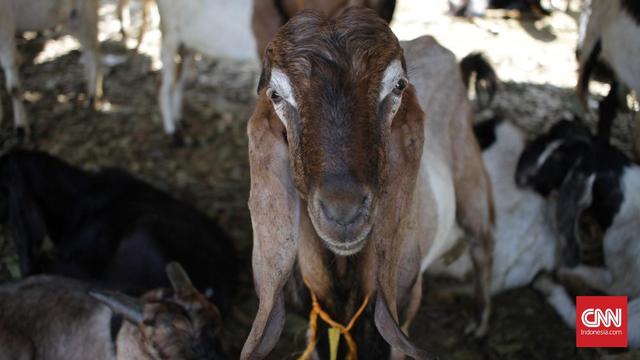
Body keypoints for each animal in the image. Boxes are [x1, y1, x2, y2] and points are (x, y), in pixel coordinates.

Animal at [0, 0, 102, 139]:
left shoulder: (5, 21)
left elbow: (13, 87)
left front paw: (21, 129)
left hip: (86, 11)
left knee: (94, 50)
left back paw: (93, 96)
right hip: (70, 17)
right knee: (87, 49)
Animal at [240, 8, 496, 360]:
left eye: (398, 86)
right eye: (276, 95)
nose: (343, 211)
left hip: (469, 173)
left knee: (482, 243)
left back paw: (479, 323)